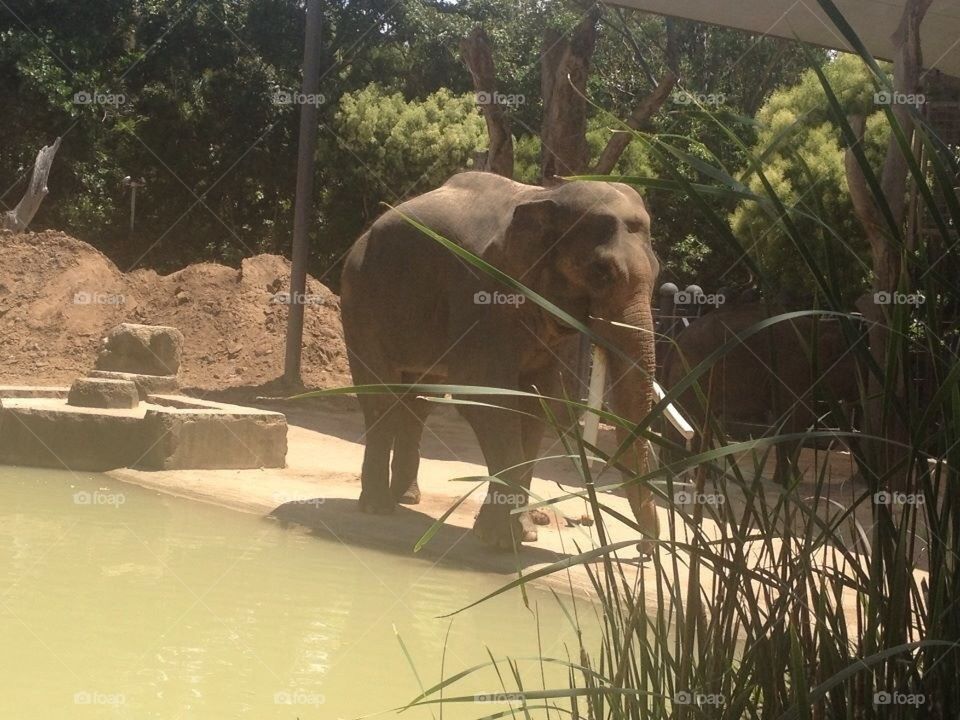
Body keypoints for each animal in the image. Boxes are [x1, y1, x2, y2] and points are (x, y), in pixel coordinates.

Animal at [340, 171, 661, 551]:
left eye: (658, 271)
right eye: (602, 272)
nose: (643, 549)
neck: (545, 194)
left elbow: (535, 403)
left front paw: (522, 533)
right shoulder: (479, 293)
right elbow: (489, 400)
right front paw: (503, 539)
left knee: (418, 402)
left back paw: (407, 499)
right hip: (360, 301)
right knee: (381, 397)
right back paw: (377, 506)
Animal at [659, 303, 865, 483]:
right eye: (854, 372)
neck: (819, 327)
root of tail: (675, 344)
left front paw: (786, 480)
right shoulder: (791, 372)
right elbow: (795, 419)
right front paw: (792, 481)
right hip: (693, 376)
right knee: (692, 420)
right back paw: (680, 475)